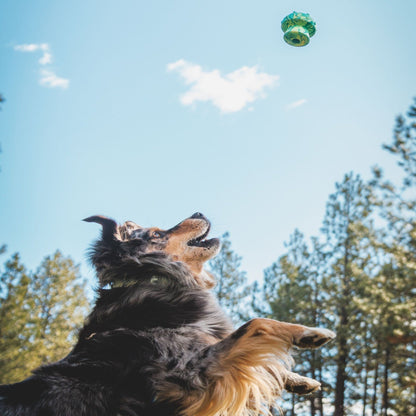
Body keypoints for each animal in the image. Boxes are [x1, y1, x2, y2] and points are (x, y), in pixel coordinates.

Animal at [0, 214, 334, 416]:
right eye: (158, 233)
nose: (199, 212)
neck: (154, 278)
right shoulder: (191, 374)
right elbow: (255, 325)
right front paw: (309, 333)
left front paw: (300, 380)